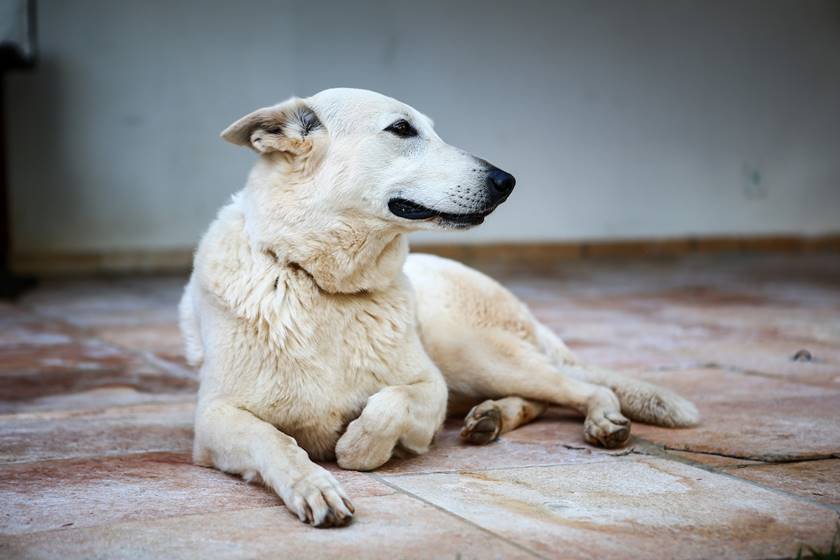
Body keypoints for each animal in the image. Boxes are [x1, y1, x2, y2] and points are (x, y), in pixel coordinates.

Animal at [180, 86, 700, 524]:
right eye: (402, 129)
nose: (507, 180)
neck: (322, 284)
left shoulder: (430, 387)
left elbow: (387, 407)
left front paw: (356, 447)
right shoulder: (215, 419)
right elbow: (275, 440)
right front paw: (314, 485)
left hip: (469, 351)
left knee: (582, 387)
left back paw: (598, 418)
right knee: (544, 397)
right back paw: (492, 418)